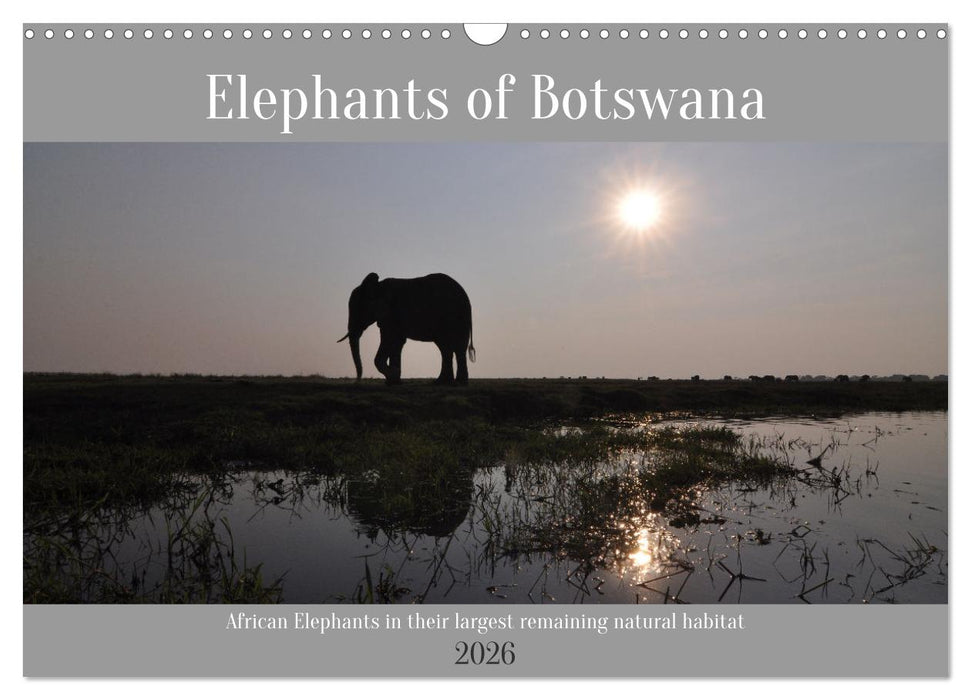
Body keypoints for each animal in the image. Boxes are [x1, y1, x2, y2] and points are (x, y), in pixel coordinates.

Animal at [337, 272, 476, 385]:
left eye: (359, 311)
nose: (356, 381)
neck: (378, 286)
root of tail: (466, 297)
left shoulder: (392, 314)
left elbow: (390, 340)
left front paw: (393, 374)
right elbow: (396, 342)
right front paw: (393, 381)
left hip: (455, 317)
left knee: (456, 347)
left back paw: (457, 383)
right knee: (447, 348)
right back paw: (443, 382)